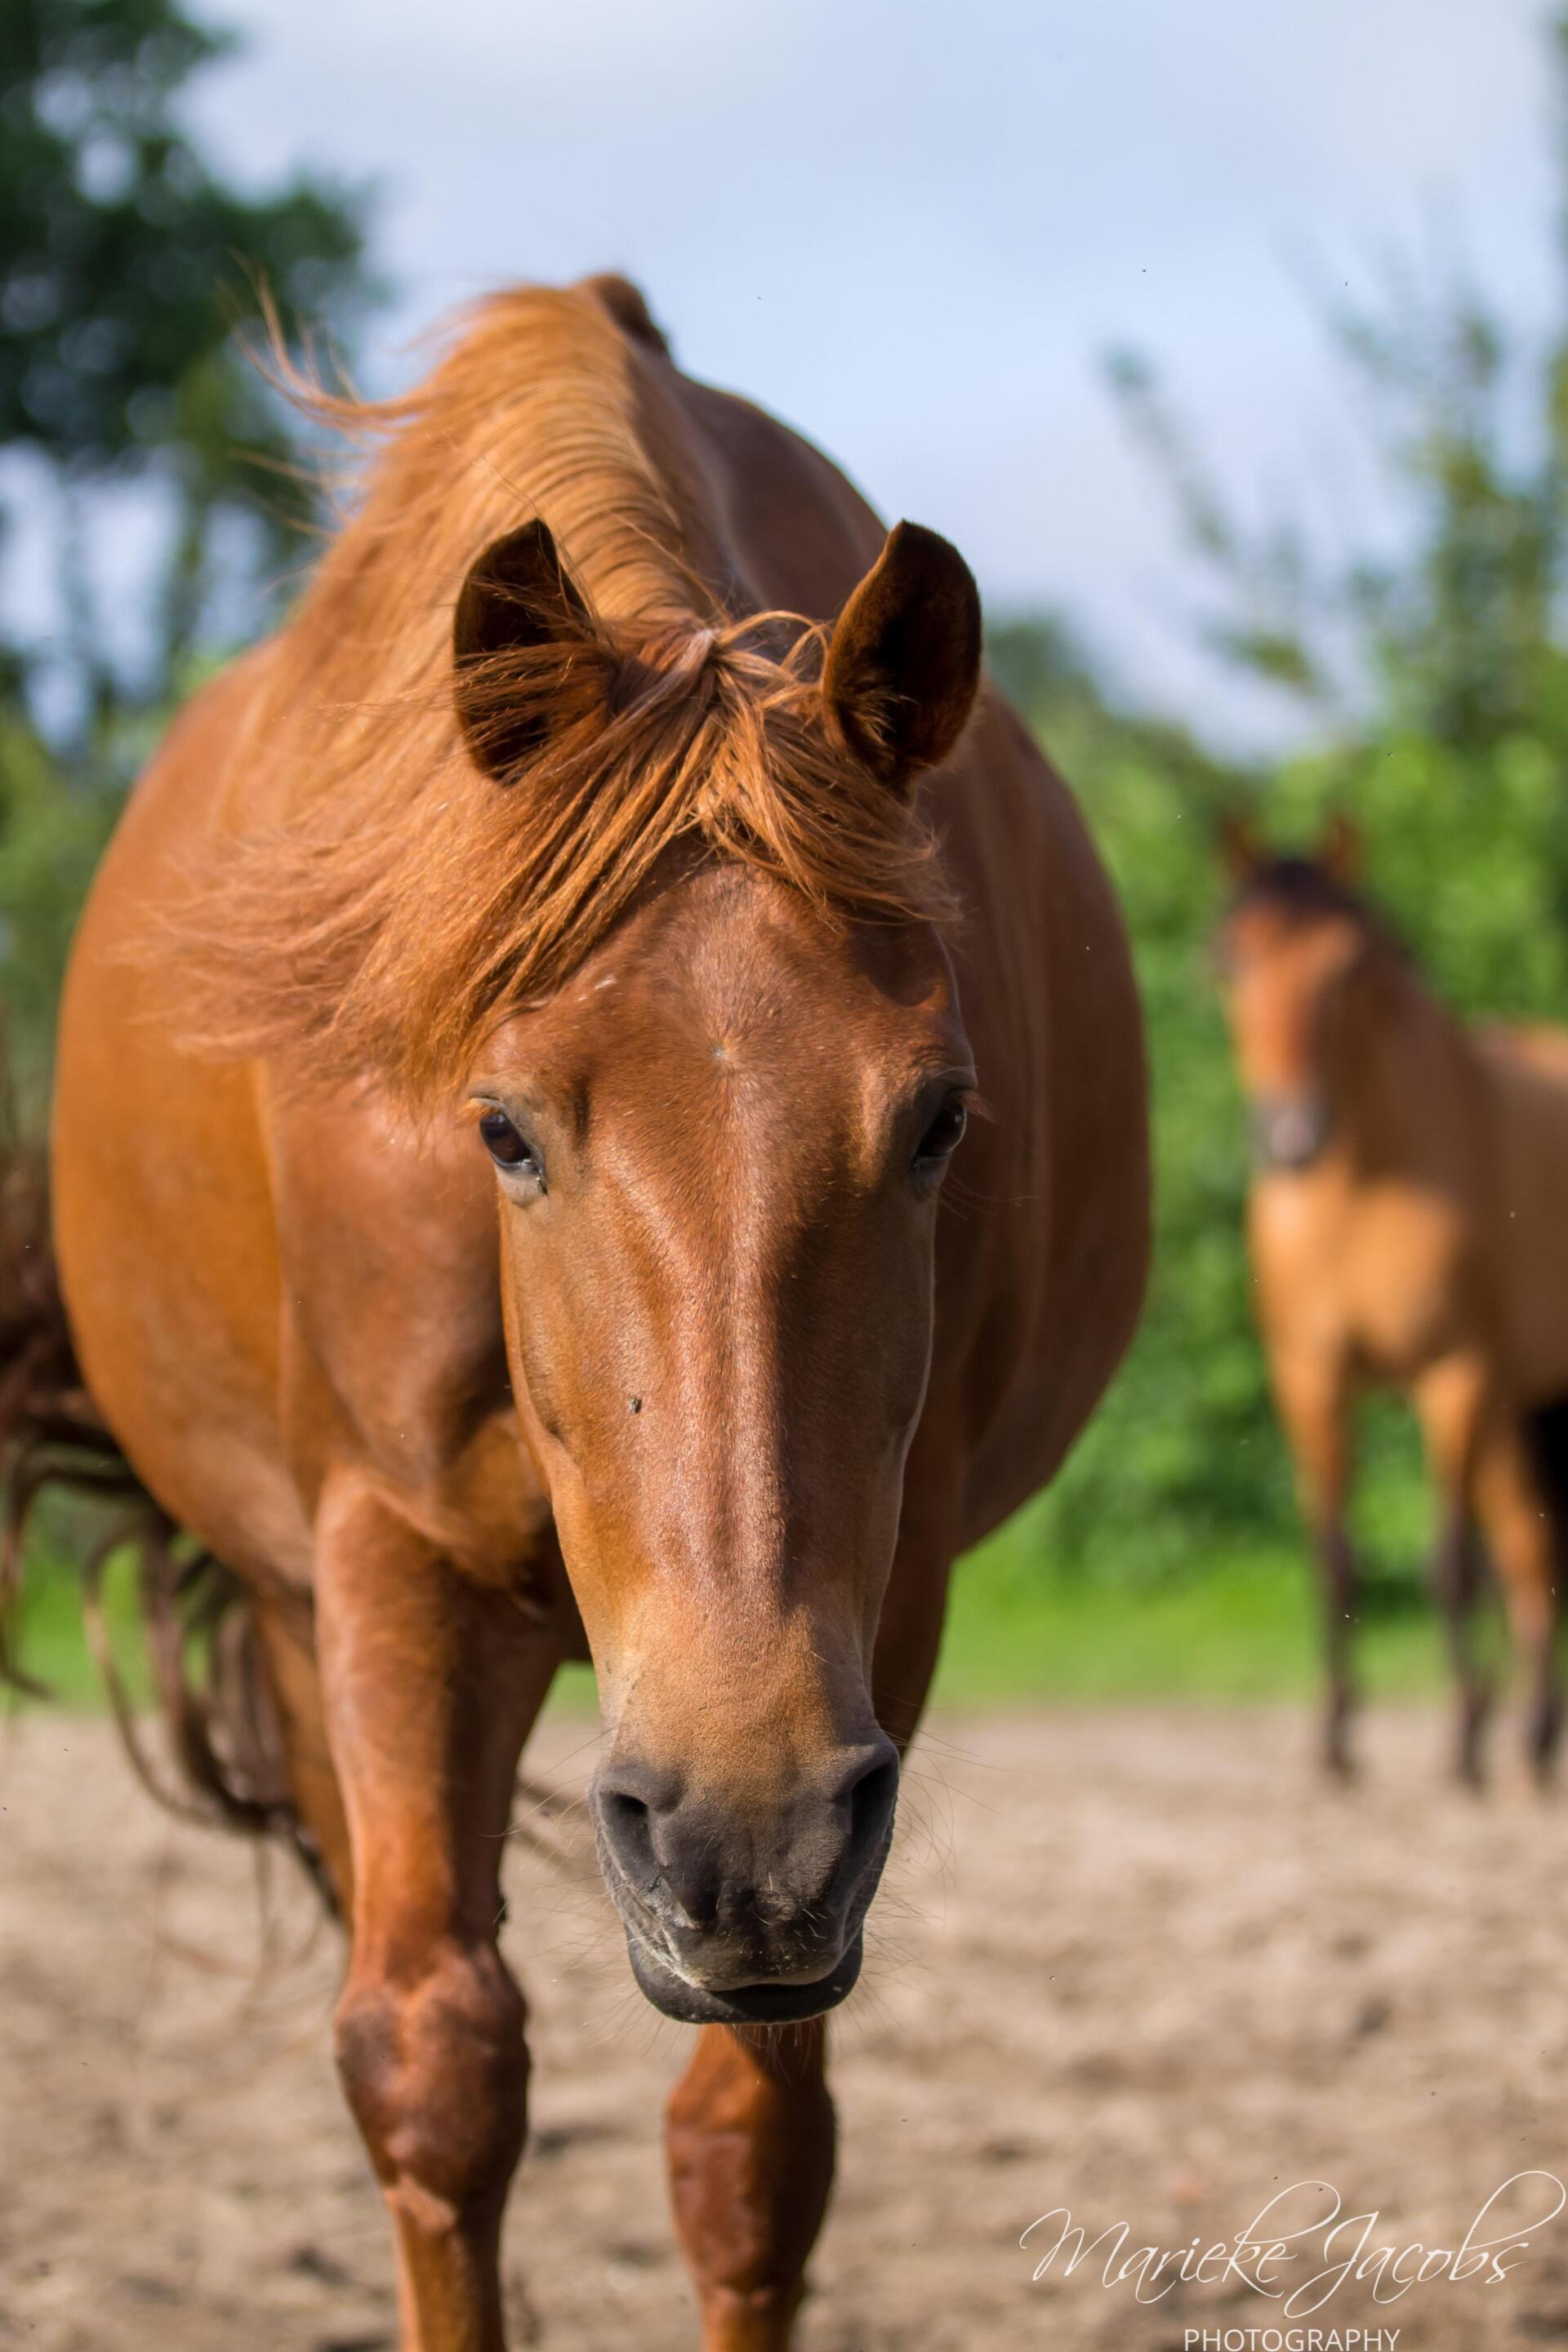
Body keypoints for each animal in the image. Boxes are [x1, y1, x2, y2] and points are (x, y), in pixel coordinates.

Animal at [36, 275, 1149, 2351]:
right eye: (502, 1128)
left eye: (941, 1118)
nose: (743, 1830)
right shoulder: (385, 1566)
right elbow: (436, 2066)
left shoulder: (877, 1631)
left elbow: (749, 2151)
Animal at [1215, 813, 1568, 1787]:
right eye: (1231, 961)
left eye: (1345, 968)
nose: (1291, 1135)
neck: (1362, 1191)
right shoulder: (1311, 1378)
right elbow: (1336, 1561)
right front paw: (1336, 1740)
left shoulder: (1456, 1374)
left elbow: (1449, 1566)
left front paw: (1463, 1741)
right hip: (1519, 1413)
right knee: (1527, 1551)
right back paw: (1532, 1733)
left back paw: (1523, 1734)